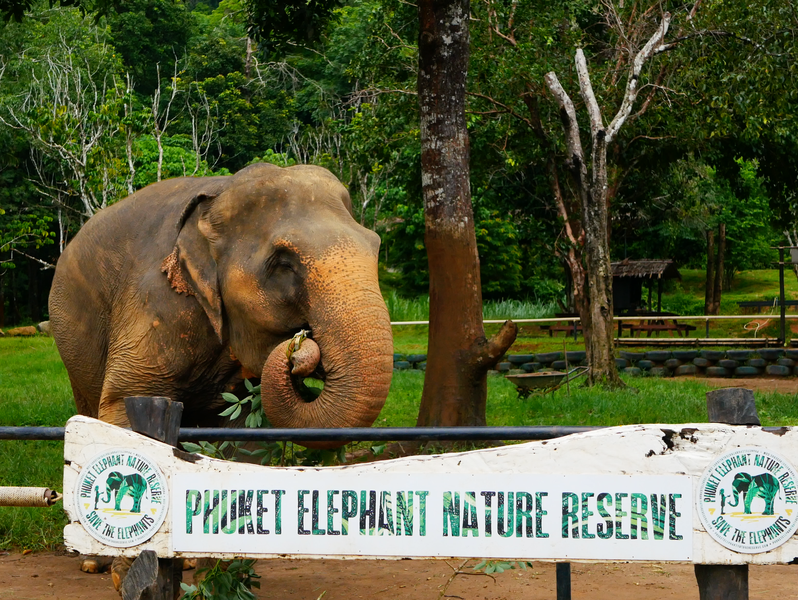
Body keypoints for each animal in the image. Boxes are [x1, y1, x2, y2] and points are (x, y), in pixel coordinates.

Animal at [49, 163, 394, 443]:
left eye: (376, 245)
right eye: (284, 264)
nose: (298, 346)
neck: (220, 192)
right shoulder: (157, 303)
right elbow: (123, 403)